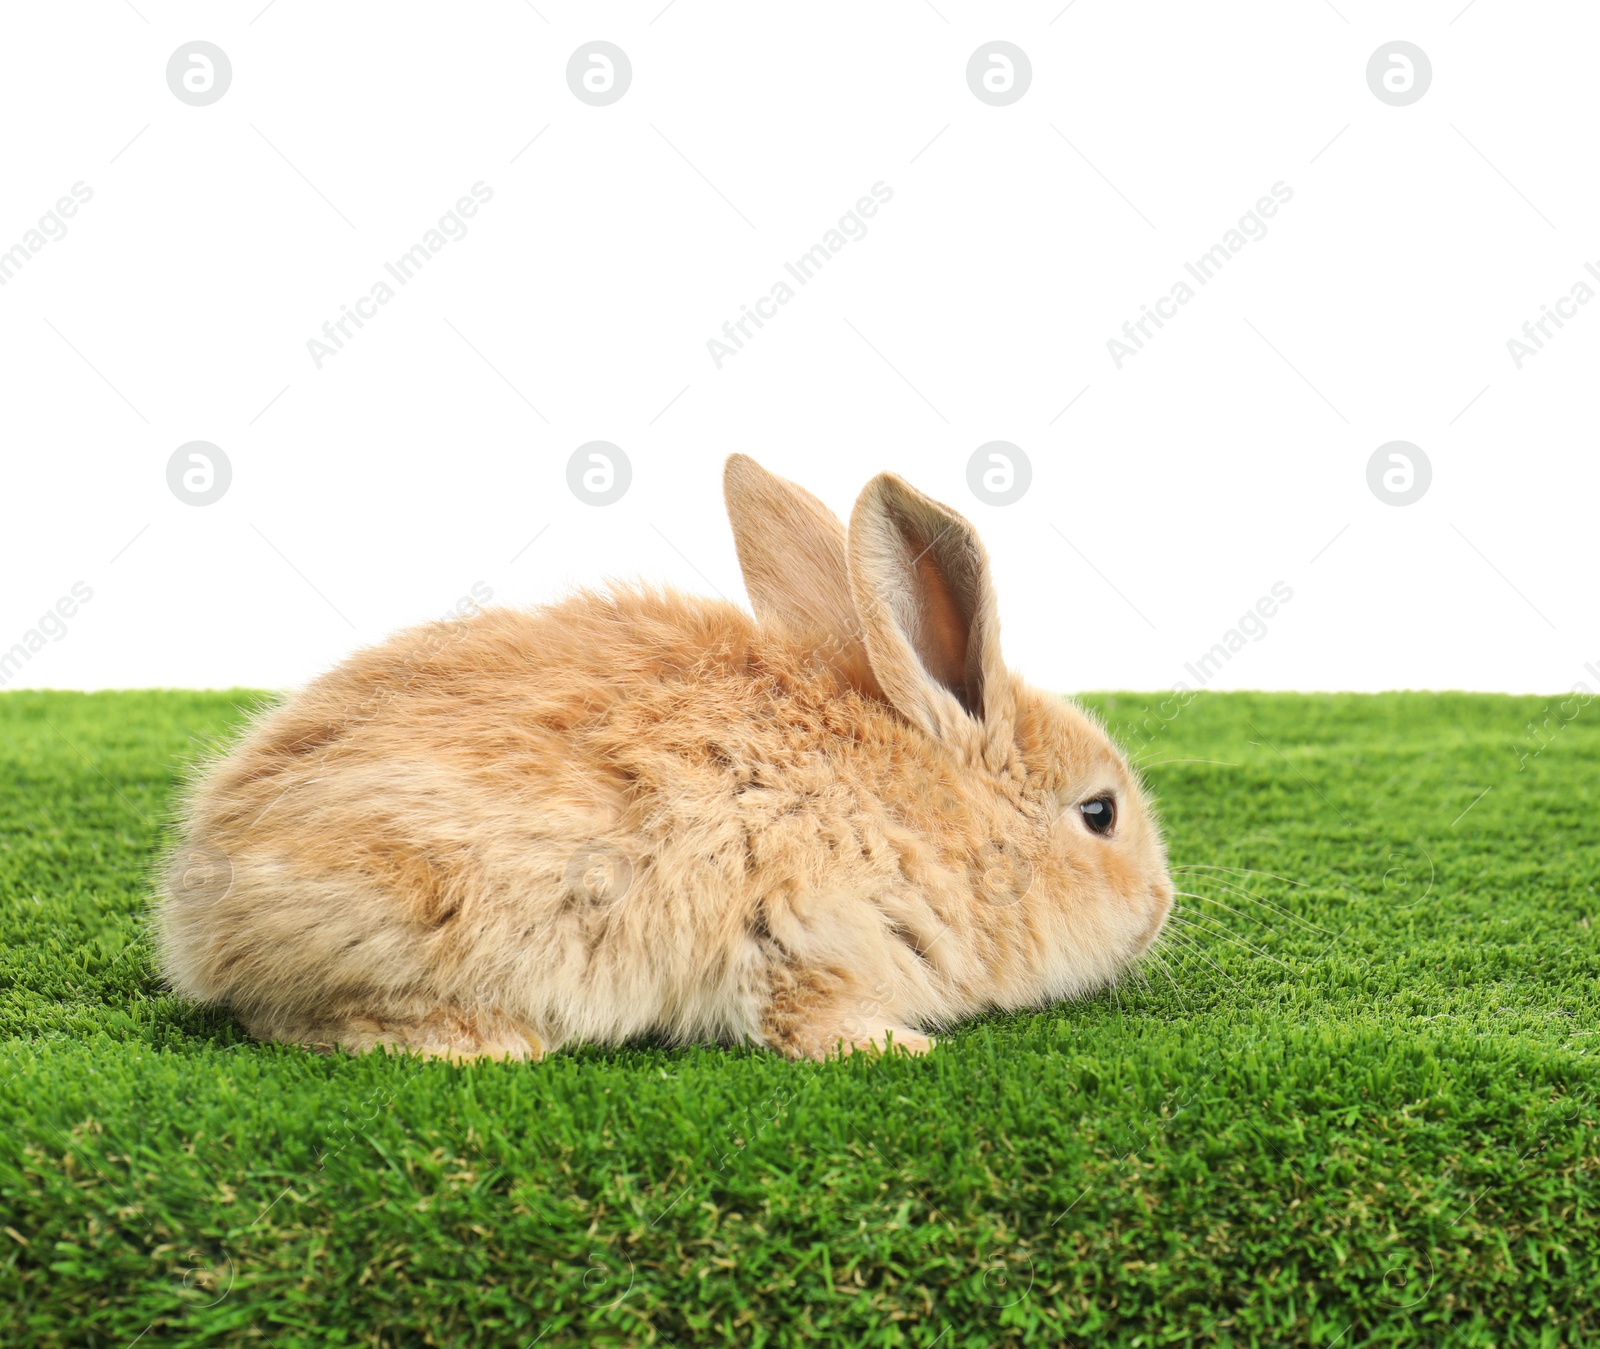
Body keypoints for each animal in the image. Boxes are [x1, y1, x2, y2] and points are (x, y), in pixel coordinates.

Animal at [152, 457, 1177, 1062]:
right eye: (1100, 813)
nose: (1162, 907)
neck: (939, 822)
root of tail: (199, 905)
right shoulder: (804, 932)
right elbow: (806, 1015)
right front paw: (903, 1050)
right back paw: (491, 1044)